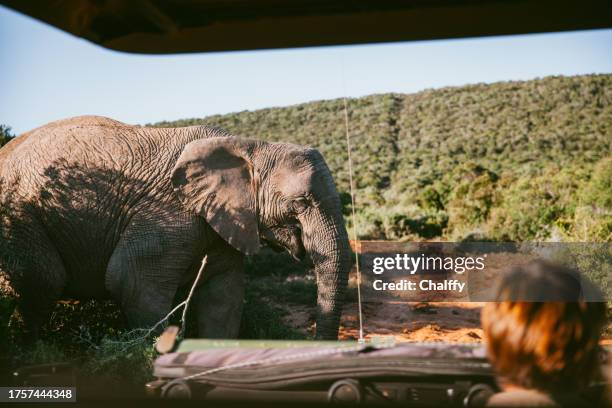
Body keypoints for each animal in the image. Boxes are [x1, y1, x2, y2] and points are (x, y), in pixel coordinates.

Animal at [0, 115, 352, 342]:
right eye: (302, 202)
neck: (250, 148)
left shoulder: (221, 221)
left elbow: (224, 299)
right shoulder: (166, 213)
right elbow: (132, 282)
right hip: (18, 218)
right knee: (43, 281)